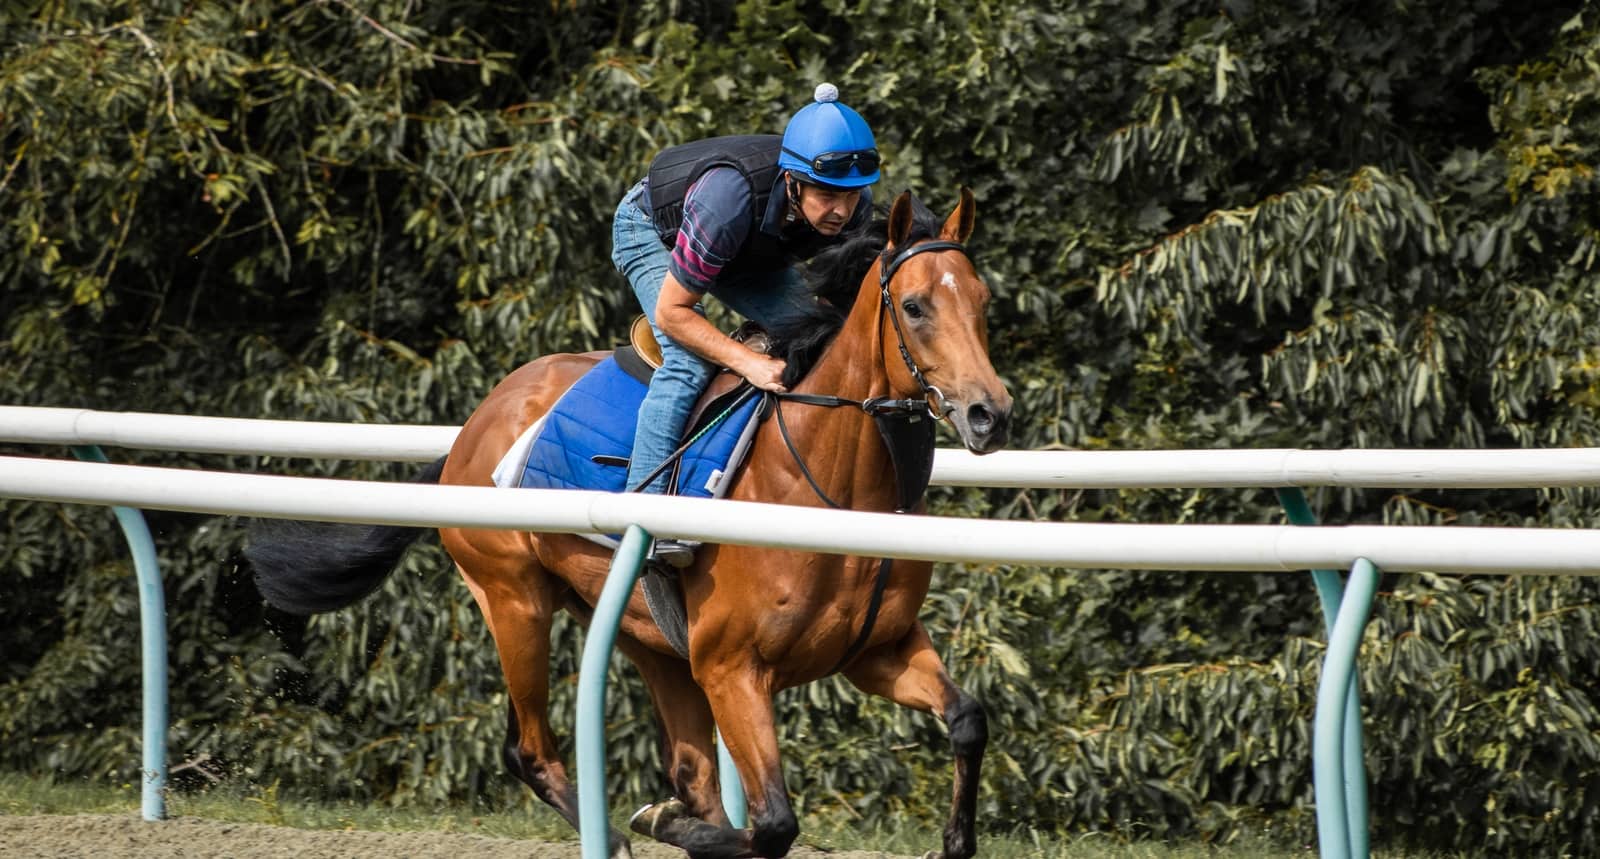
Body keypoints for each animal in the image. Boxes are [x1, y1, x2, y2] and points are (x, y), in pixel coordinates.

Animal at [247, 187, 1012, 859]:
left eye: (983, 303)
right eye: (914, 306)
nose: (989, 414)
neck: (827, 491)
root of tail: (478, 421)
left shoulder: (876, 650)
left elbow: (968, 719)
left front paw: (955, 841)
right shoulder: (733, 668)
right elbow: (772, 824)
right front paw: (664, 823)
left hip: (648, 636)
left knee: (689, 769)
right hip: (513, 598)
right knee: (530, 748)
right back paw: (614, 834)